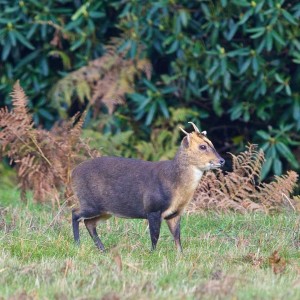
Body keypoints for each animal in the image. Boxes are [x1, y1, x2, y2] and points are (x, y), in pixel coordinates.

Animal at [71, 122, 224, 251]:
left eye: (211, 143)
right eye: (202, 146)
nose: (221, 160)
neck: (174, 183)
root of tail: (73, 172)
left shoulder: (175, 213)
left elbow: (177, 237)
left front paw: (180, 255)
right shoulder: (153, 208)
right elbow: (155, 236)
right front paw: (153, 253)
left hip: (105, 210)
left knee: (89, 223)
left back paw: (102, 249)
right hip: (90, 202)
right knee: (75, 213)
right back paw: (78, 245)